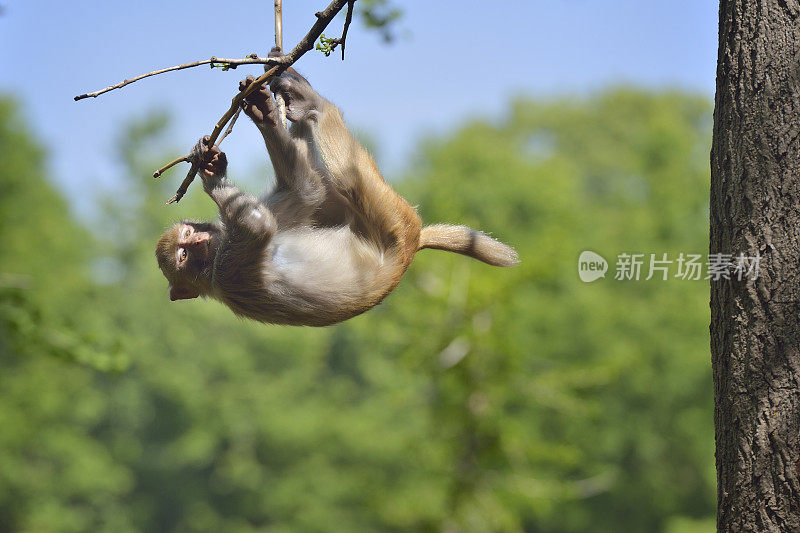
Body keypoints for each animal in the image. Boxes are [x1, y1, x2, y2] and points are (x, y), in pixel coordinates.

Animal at [156, 68, 520, 326]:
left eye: (187, 236)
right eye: (183, 256)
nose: (198, 242)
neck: (214, 260)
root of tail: (411, 249)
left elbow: (306, 191)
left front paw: (253, 123)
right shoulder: (228, 271)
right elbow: (258, 224)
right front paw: (212, 180)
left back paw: (296, 99)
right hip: (396, 223)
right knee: (348, 177)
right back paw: (315, 105)